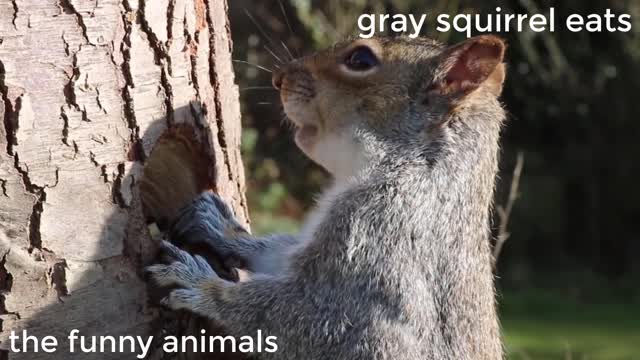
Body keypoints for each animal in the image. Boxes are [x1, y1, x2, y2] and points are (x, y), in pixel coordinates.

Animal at [148, 35, 508, 360]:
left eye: (360, 60)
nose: (279, 78)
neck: (414, 168)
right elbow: (280, 254)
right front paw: (222, 229)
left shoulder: (377, 239)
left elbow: (306, 321)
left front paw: (201, 283)